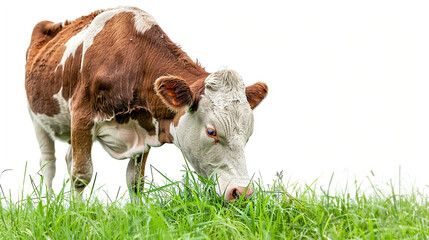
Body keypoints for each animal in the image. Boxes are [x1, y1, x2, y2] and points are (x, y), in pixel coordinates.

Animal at [24, 7, 268, 201]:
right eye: (211, 131)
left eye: (249, 134)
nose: (242, 192)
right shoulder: (82, 117)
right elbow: (81, 175)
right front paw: (78, 216)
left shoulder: (145, 128)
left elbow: (135, 182)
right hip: (37, 119)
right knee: (49, 164)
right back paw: (49, 208)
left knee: (67, 159)